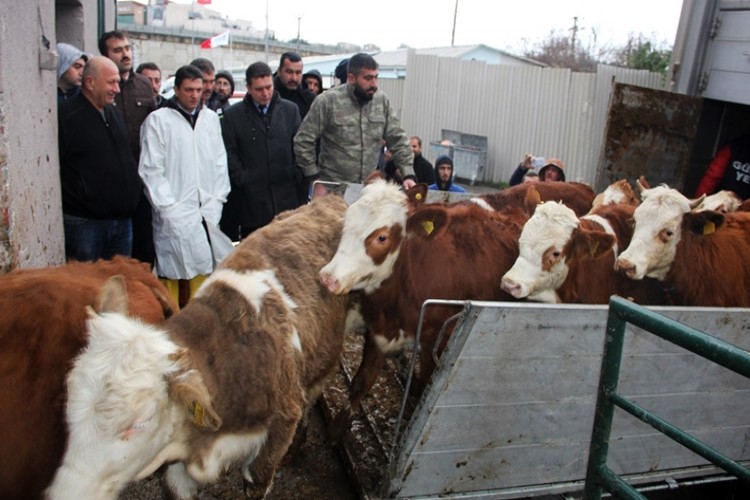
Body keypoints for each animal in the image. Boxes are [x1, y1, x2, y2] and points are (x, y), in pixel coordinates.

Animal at [47, 195, 356, 500]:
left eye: (140, 423)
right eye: (69, 399)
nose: (64, 493)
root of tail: (328, 198)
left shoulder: (279, 427)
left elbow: (257, 478)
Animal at [320, 181, 532, 442]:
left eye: (382, 237)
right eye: (346, 221)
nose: (328, 278)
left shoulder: (438, 340)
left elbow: (423, 385)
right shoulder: (380, 331)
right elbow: (361, 382)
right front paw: (336, 431)